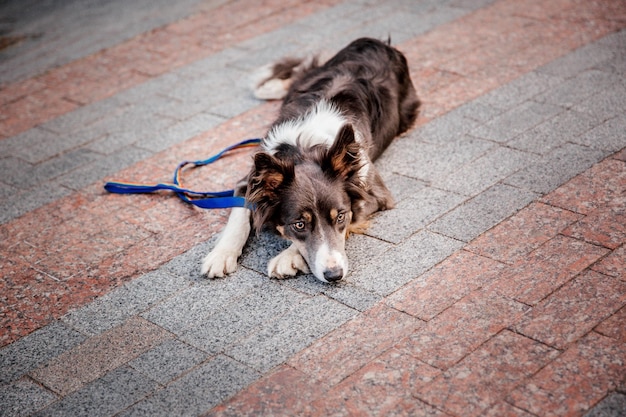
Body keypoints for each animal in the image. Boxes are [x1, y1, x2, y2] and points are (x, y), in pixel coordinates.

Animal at [201, 37, 420, 282]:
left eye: (340, 217)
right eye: (299, 224)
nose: (334, 275)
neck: (304, 149)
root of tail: (378, 42)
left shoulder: (376, 194)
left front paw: (288, 257)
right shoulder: (250, 179)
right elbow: (238, 217)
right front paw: (221, 255)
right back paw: (271, 86)